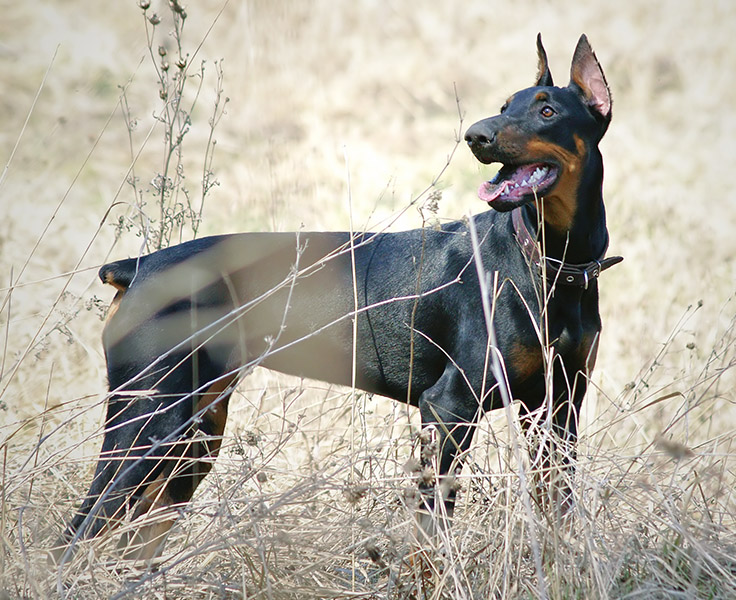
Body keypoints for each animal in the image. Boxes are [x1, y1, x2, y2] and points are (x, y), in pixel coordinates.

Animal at [59, 34, 620, 564]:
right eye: (504, 106)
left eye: (547, 111)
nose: (476, 135)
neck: (551, 262)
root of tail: (136, 267)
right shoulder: (448, 408)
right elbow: (430, 537)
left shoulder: (558, 409)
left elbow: (558, 506)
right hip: (147, 424)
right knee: (76, 534)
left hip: (191, 439)